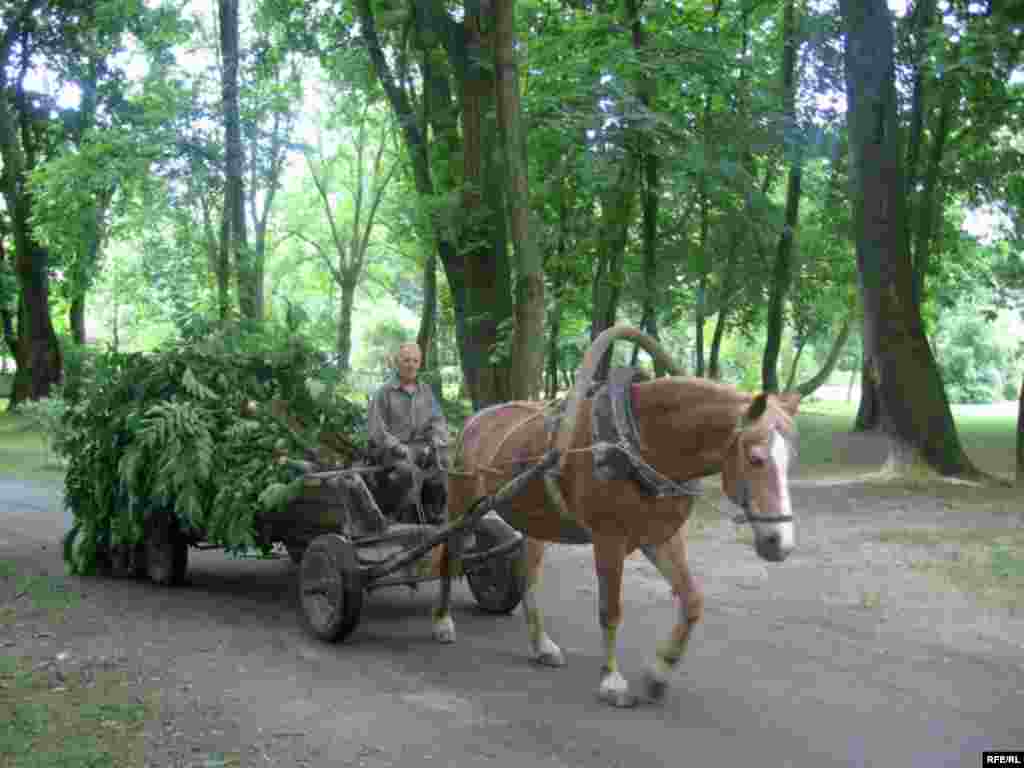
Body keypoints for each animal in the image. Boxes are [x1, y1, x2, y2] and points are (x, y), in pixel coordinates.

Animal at [425, 325, 798, 708]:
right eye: (755, 458)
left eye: (791, 458)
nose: (780, 543)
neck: (639, 442)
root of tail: (475, 420)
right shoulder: (609, 539)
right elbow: (610, 610)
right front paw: (611, 680)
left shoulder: (660, 537)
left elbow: (692, 601)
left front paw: (659, 673)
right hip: (462, 506)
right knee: (450, 556)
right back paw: (442, 622)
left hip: (535, 520)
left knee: (529, 579)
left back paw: (541, 645)